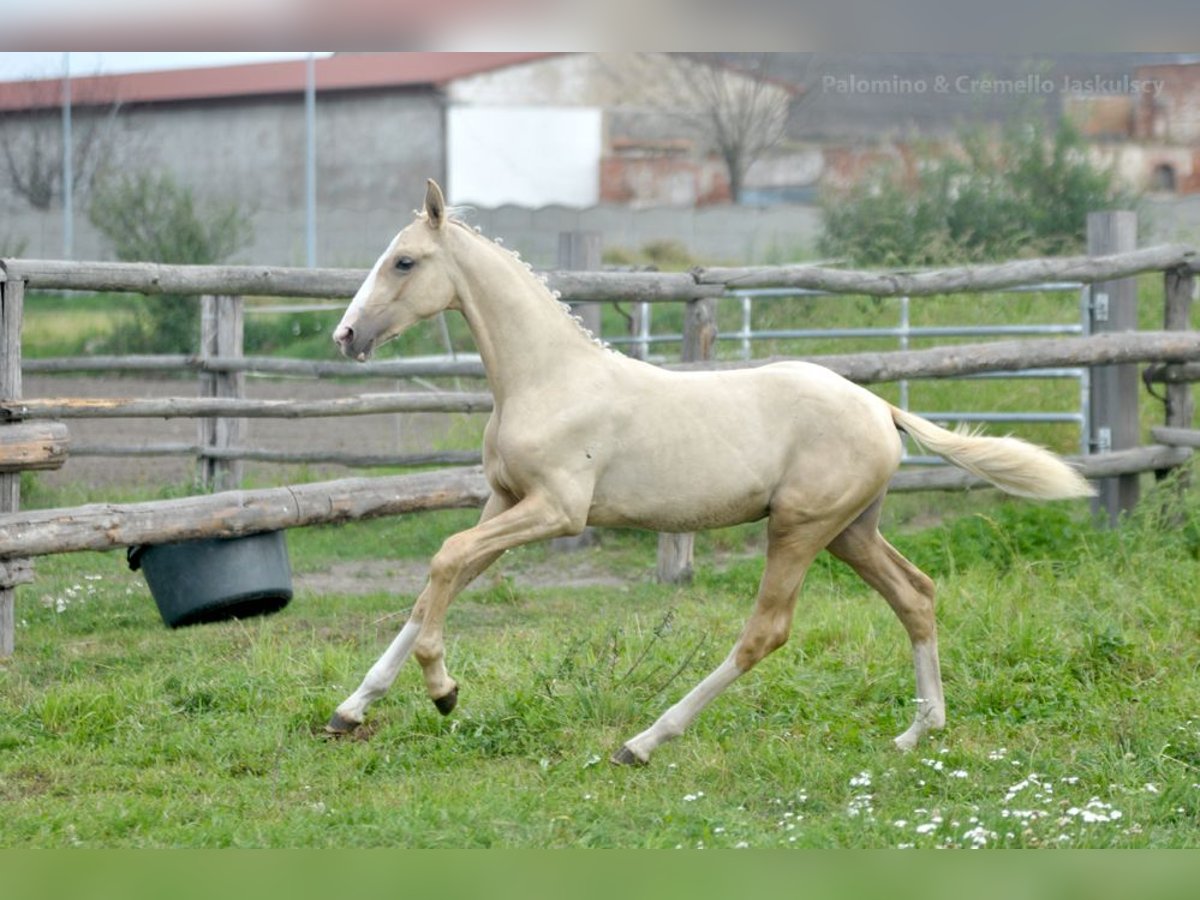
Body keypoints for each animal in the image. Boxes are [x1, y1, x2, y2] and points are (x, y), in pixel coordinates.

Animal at [328, 181, 1099, 768]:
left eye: (403, 261)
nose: (345, 336)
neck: (549, 379)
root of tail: (881, 407)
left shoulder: (556, 510)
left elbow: (444, 561)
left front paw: (443, 690)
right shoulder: (504, 502)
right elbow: (436, 583)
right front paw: (351, 709)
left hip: (801, 528)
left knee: (766, 632)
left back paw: (643, 742)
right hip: (851, 531)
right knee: (916, 596)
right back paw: (918, 731)